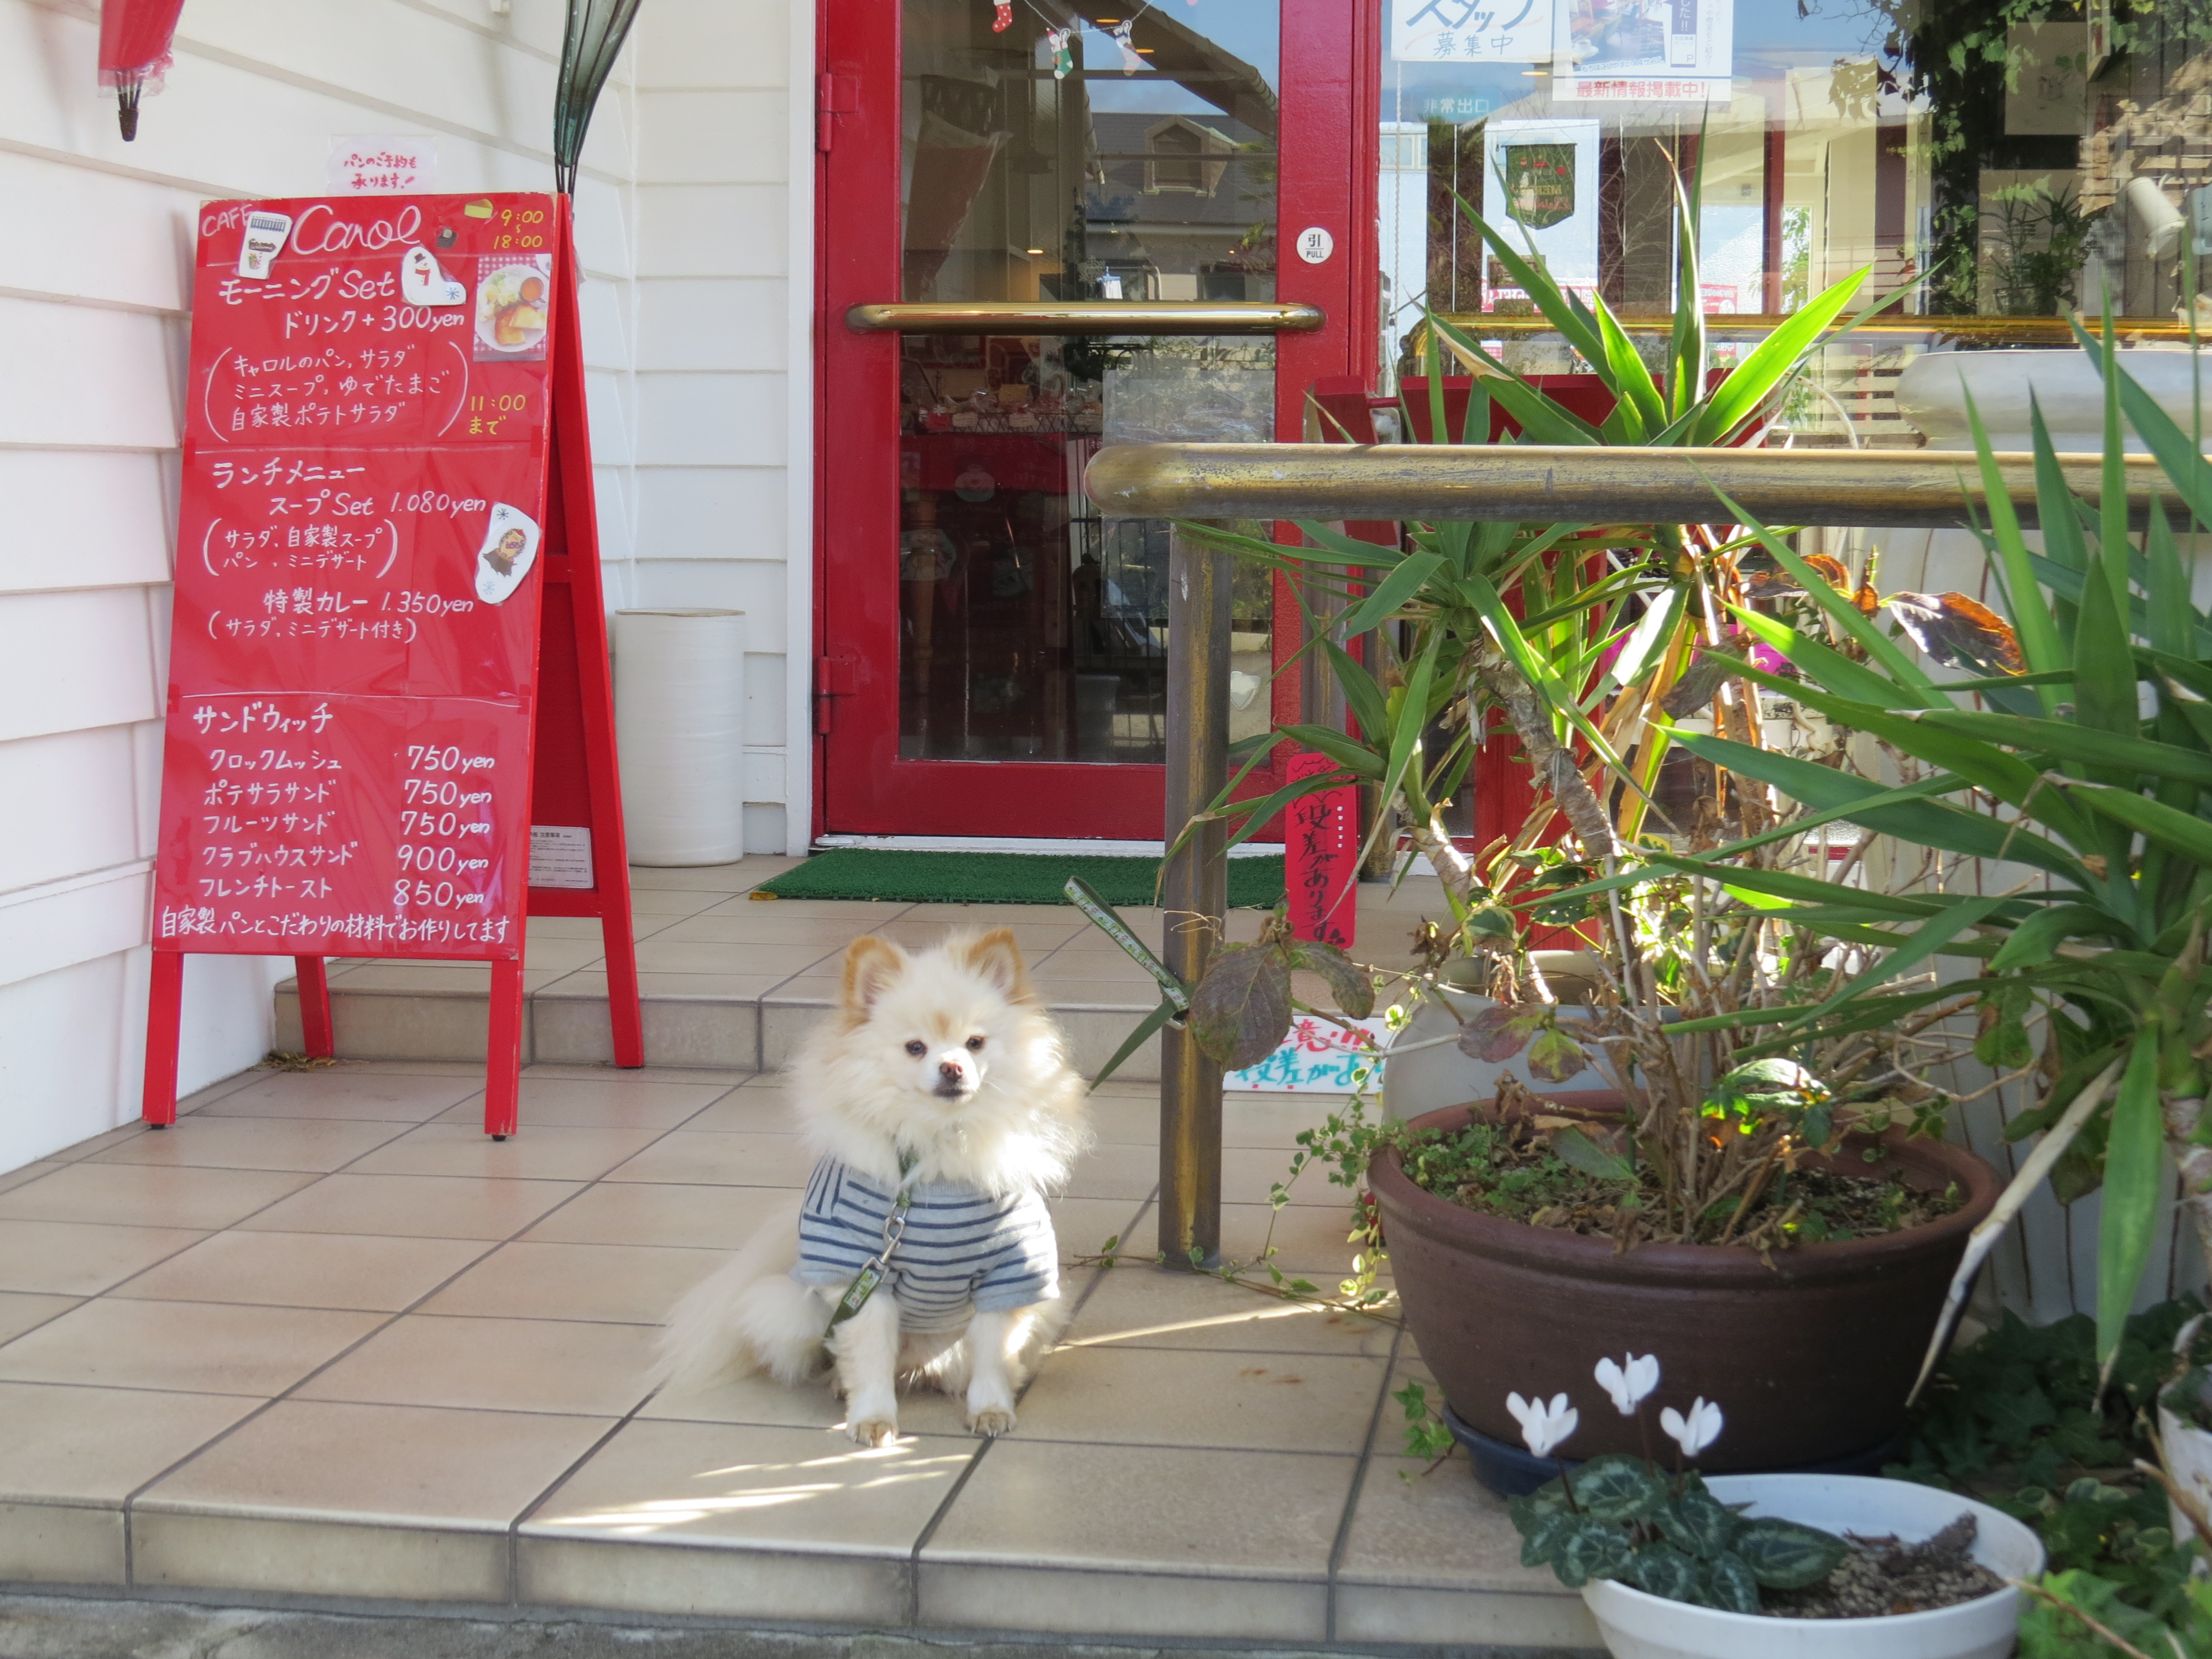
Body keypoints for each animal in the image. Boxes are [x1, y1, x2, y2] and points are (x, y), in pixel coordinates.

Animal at [650, 929, 1093, 1451]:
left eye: (975, 1043)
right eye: (916, 1048)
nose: (952, 1068)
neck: (933, 1148)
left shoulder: (1008, 1274)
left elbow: (992, 1354)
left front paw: (991, 1410)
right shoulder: (865, 1278)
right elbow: (870, 1357)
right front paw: (874, 1419)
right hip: (790, 1309)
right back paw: (841, 1384)